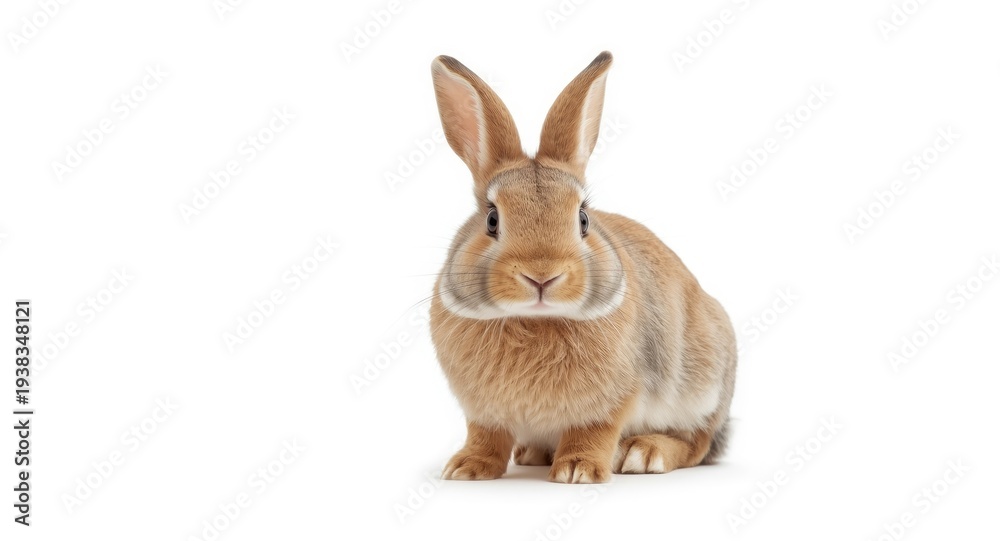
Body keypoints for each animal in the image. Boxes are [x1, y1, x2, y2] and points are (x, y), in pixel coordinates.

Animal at [429, 51, 737, 484]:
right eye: (491, 219)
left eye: (583, 219)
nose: (542, 275)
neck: (535, 320)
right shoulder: (483, 411)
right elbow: (486, 436)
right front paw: (467, 468)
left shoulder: (614, 399)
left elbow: (593, 431)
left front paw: (578, 470)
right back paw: (533, 453)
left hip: (702, 384)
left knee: (697, 442)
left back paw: (644, 453)